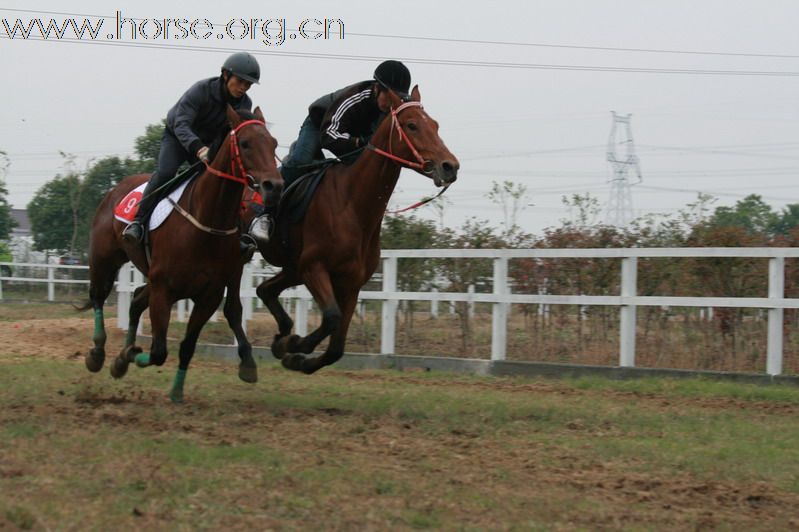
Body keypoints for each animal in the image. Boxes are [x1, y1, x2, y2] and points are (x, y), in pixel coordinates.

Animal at [84, 106, 282, 402]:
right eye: (246, 144)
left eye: (273, 143)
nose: (274, 186)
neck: (204, 223)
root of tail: (116, 189)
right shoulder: (163, 289)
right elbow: (158, 351)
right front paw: (130, 354)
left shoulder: (210, 293)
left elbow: (190, 343)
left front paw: (175, 390)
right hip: (104, 258)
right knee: (98, 296)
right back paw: (98, 352)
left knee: (135, 301)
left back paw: (121, 358)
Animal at [256, 85, 456, 372]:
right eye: (412, 125)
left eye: (436, 125)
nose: (450, 166)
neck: (351, 204)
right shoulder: (314, 267)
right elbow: (331, 317)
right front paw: (295, 345)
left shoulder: (350, 283)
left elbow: (336, 348)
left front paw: (292, 353)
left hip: (293, 269)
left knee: (264, 290)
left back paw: (280, 337)